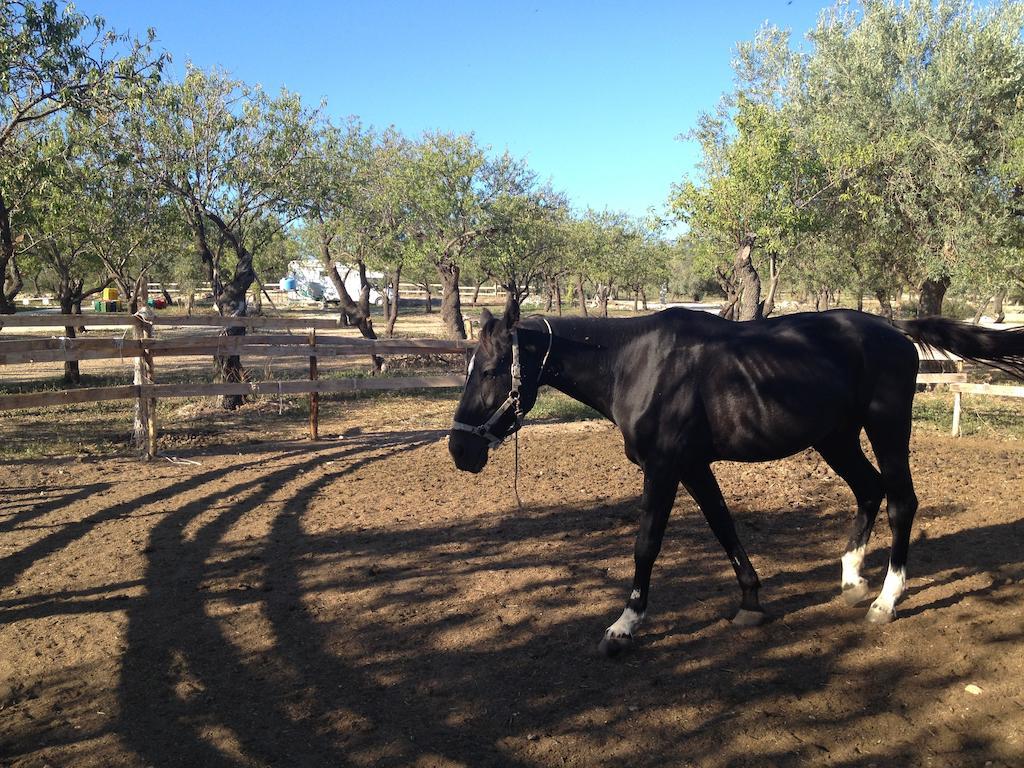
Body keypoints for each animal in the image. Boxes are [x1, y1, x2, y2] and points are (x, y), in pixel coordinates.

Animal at [450, 301, 1024, 655]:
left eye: (491, 370)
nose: (460, 450)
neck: (634, 364)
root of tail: (896, 330)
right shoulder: (692, 467)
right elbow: (723, 527)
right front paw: (750, 602)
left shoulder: (664, 467)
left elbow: (646, 544)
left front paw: (624, 625)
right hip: (835, 437)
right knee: (869, 490)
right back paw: (851, 579)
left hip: (885, 427)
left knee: (901, 500)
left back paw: (885, 600)